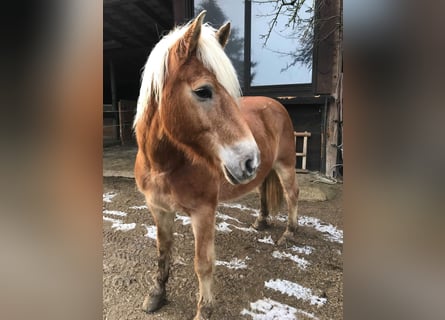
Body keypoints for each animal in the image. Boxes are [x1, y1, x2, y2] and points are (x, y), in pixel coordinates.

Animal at [132, 10, 298, 320]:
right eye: (203, 91)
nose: (249, 159)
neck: (165, 165)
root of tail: (276, 104)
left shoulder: (203, 212)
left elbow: (203, 264)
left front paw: (204, 309)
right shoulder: (159, 209)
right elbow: (163, 251)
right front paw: (157, 294)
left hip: (285, 165)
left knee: (293, 195)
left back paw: (289, 234)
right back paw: (261, 221)